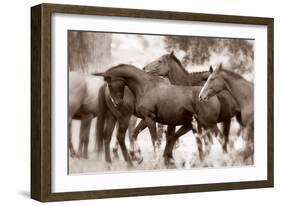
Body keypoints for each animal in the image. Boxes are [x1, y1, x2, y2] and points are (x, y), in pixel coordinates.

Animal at [94, 64, 230, 166]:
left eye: (110, 83)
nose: (117, 103)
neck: (145, 87)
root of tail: (213, 98)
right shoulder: (148, 119)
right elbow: (142, 135)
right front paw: (143, 158)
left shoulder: (150, 119)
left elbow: (155, 139)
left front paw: (157, 160)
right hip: (119, 117)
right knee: (112, 137)